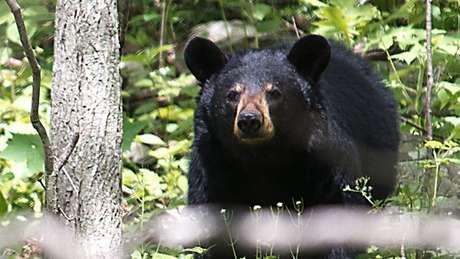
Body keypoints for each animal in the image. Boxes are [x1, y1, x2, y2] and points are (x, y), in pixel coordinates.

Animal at [183, 35, 398, 259]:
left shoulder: (325, 165)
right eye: (232, 94)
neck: (263, 158)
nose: (249, 120)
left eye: (274, 92)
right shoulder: (212, 167)